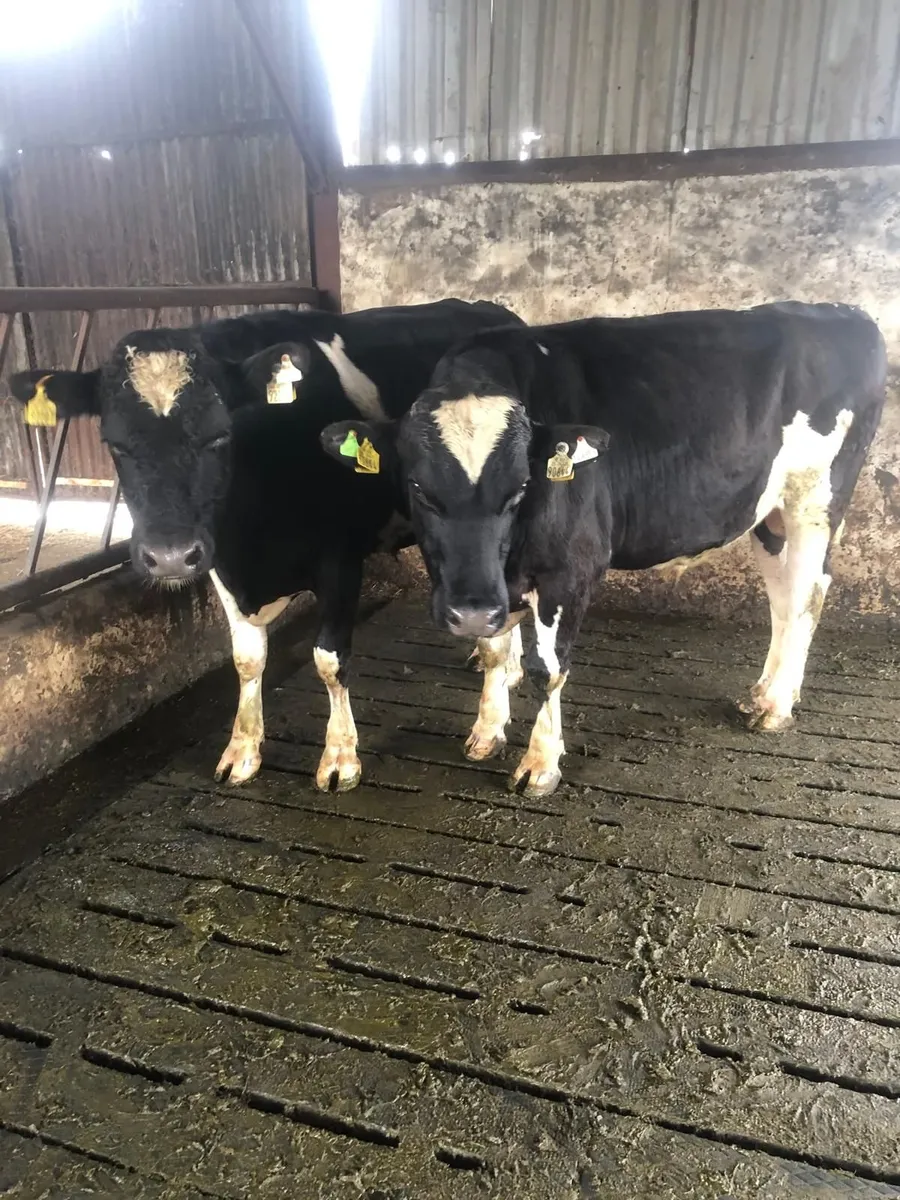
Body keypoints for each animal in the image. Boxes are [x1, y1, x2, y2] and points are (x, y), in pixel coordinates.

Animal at [9, 298, 524, 790]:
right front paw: (242, 751)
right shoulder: (219, 560)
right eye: (114, 443)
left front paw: (339, 758)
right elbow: (247, 659)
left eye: (220, 435)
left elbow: (329, 659)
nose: (169, 556)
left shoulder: (339, 561)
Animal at [320, 302, 887, 798]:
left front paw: (540, 764)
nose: (471, 610)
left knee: (808, 594)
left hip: (816, 498)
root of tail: (842, 311)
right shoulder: (491, 584)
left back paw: (775, 706)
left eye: (521, 487)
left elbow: (548, 669)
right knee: (783, 596)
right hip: (769, 510)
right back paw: (767, 692)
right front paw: (487, 731)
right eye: (418, 488)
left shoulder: (572, 569)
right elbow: (495, 651)